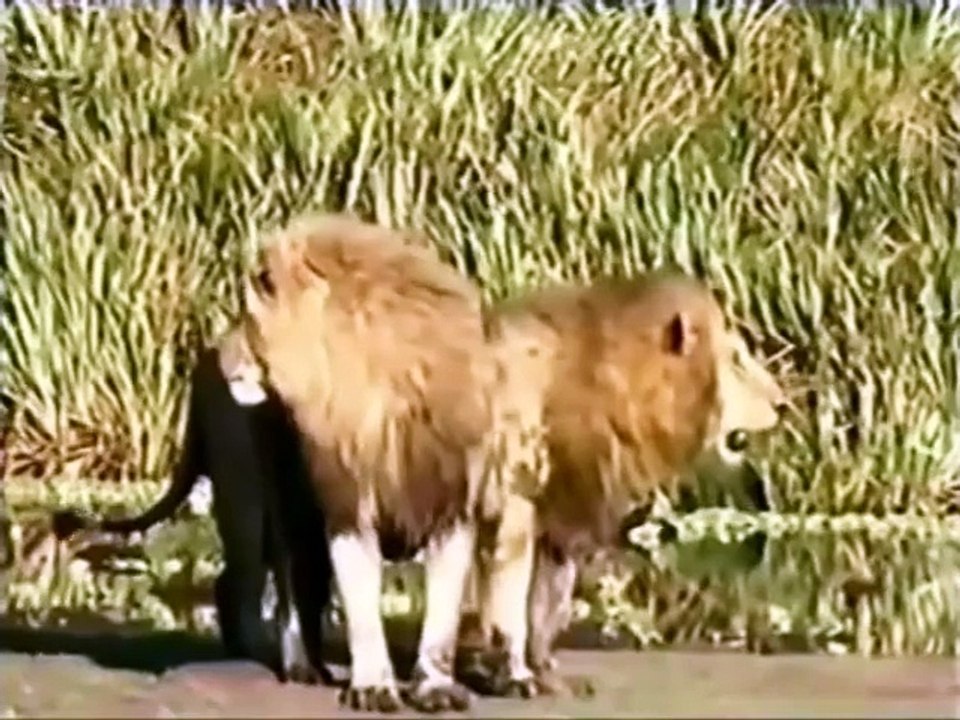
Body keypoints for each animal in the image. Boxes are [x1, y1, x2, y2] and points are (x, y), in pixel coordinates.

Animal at [240, 214, 493, 713]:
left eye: (249, 320)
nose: (224, 361)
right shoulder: (346, 506)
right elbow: (361, 607)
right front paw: (373, 686)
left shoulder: (453, 508)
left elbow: (443, 613)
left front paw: (435, 687)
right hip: (289, 506)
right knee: (292, 588)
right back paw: (303, 664)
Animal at [459, 272, 788, 699]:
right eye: (735, 359)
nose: (782, 404)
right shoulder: (516, 503)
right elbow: (509, 597)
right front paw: (516, 676)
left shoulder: (561, 516)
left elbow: (547, 602)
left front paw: (544, 672)